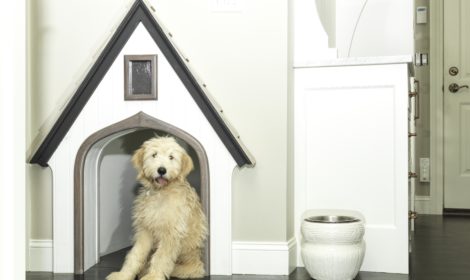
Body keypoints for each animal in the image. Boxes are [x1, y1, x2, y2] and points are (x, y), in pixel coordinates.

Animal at [109, 136, 208, 280]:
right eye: (154, 155)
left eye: (171, 157)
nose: (162, 170)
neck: (160, 192)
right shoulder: (145, 230)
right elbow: (135, 254)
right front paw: (123, 274)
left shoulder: (171, 233)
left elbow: (161, 257)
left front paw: (153, 276)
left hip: (192, 261)